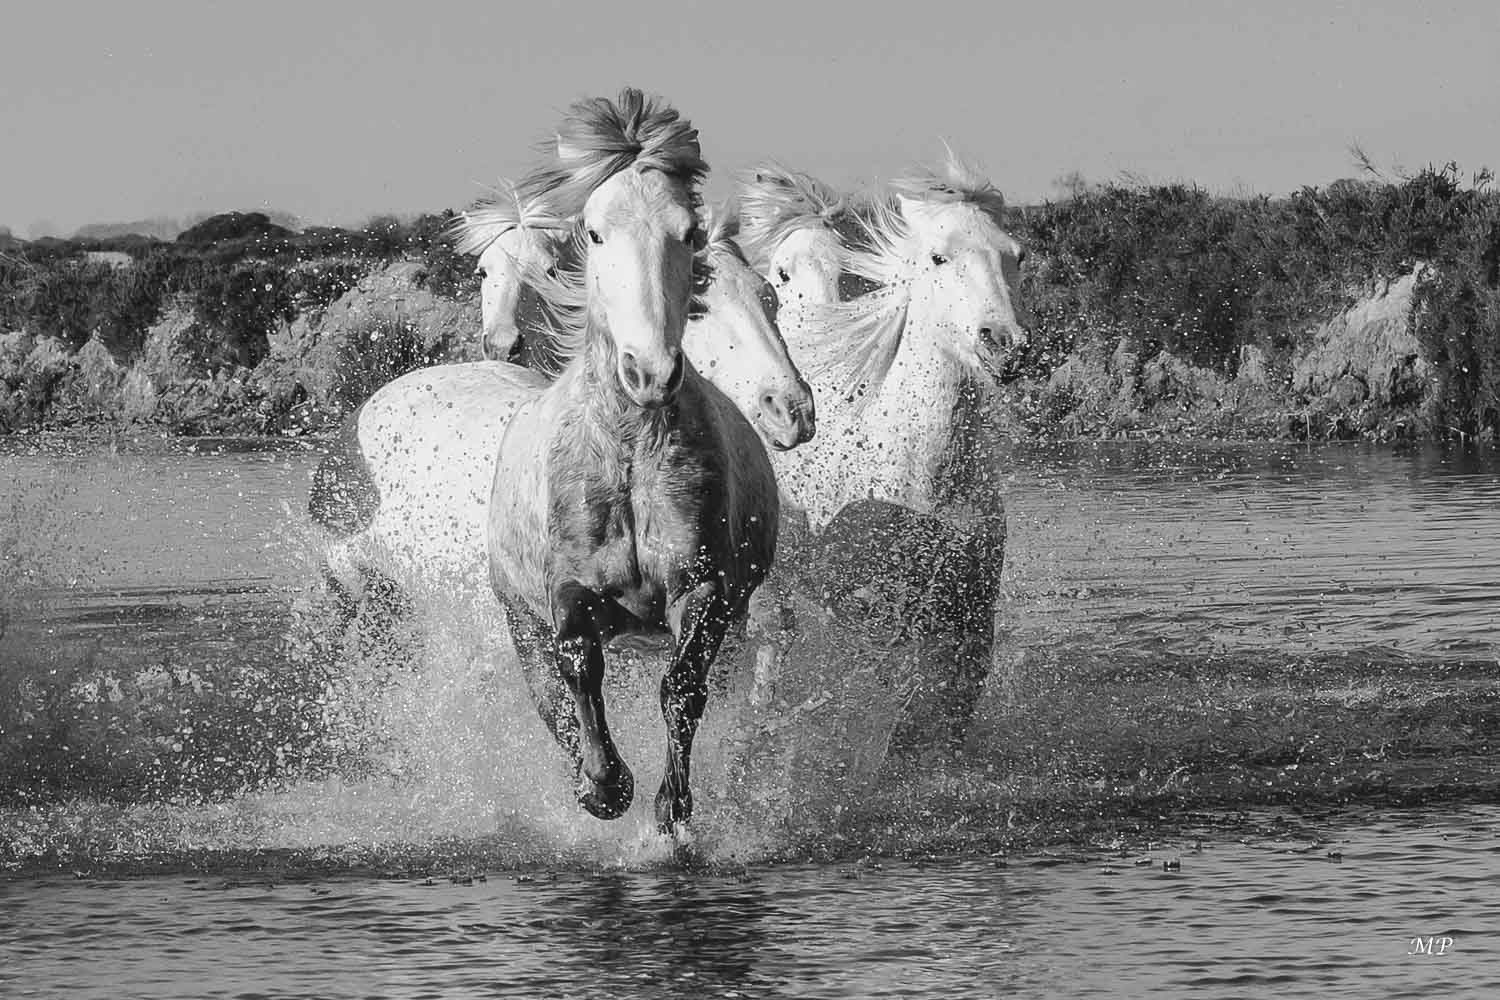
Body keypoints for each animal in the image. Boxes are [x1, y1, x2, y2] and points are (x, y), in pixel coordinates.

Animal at [311, 89, 786, 833]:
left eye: (688, 235)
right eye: (593, 234)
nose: (648, 371)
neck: (626, 459)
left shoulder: (710, 595)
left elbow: (682, 690)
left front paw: (670, 811)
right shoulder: (557, 606)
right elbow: (573, 688)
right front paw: (604, 788)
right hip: (377, 600)